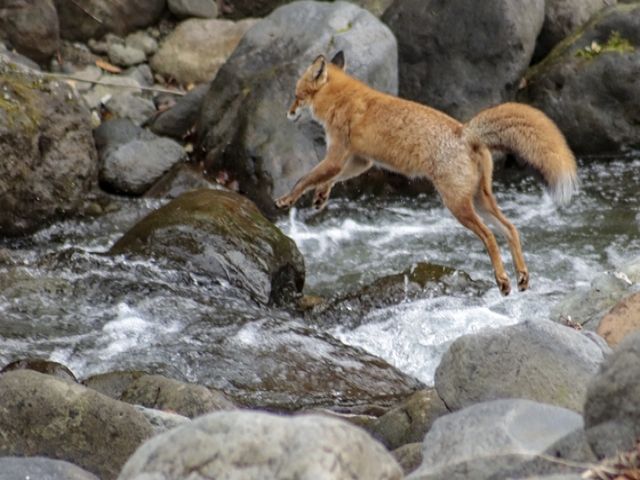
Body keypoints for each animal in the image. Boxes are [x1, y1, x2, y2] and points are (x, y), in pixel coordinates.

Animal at [276, 50, 580, 294]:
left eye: (297, 96)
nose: (288, 113)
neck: (342, 99)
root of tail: (465, 132)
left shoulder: (338, 154)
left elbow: (305, 178)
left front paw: (286, 199)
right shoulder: (361, 160)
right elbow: (329, 179)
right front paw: (320, 196)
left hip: (458, 206)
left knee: (490, 237)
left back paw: (502, 280)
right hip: (481, 200)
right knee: (511, 229)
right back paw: (522, 276)